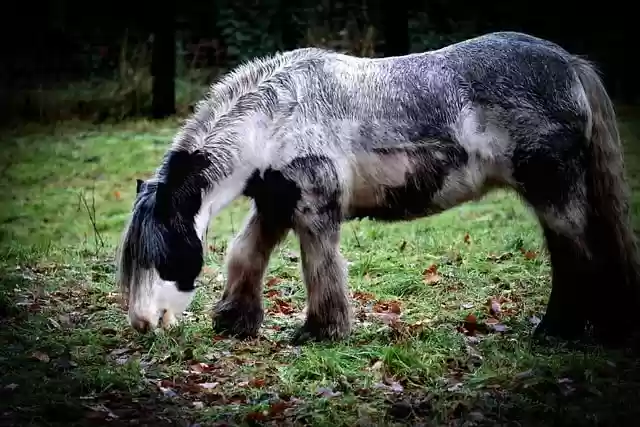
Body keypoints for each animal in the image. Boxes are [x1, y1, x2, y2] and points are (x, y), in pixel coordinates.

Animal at [116, 31, 640, 347]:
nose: (142, 323)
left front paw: (321, 332)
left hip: (554, 193)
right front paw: (234, 321)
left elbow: (321, 269)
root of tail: (570, 64)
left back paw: (558, 331)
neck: (277, 118)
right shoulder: (275, 205)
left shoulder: (314, 211)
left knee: (579, 256)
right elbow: (245, 254)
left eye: (162, 254)